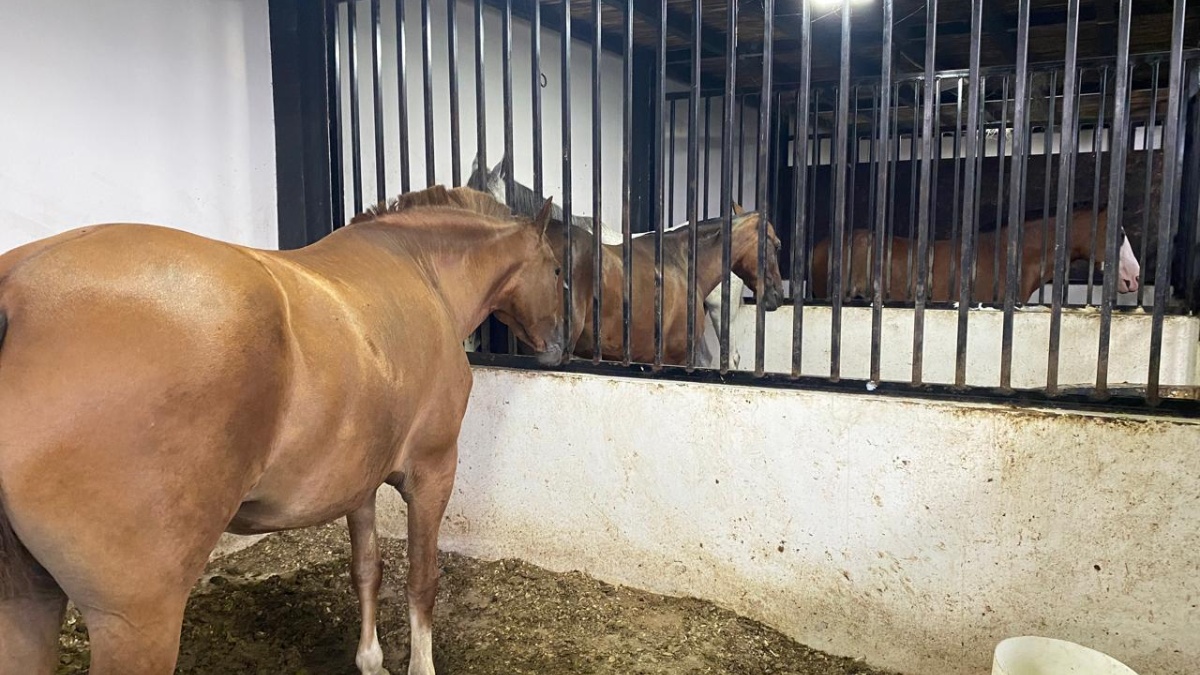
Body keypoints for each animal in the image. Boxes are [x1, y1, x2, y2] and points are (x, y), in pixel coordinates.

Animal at [0, 186, 565, 675]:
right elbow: (421, 580)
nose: (558, 348)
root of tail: (17, 292)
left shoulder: (358, 481)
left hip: (24, 608)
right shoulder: (432, 473)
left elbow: (367, 570)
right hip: (135, 621)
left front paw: (370, 662)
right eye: (558, 269)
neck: (420, 272)